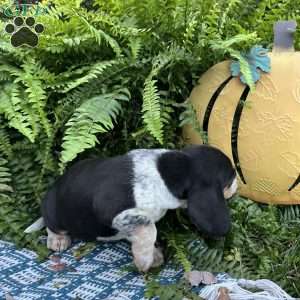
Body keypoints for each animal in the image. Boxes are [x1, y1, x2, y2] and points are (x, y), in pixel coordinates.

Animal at [25, 145, 238, 272]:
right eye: (230, 178)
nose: (239, 184)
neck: (166, 173)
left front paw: (151, 253)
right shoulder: (111, 211)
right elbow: (149, 228)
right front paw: (145, 259)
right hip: (54, 213)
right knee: (52, 225)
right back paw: (58, 239)